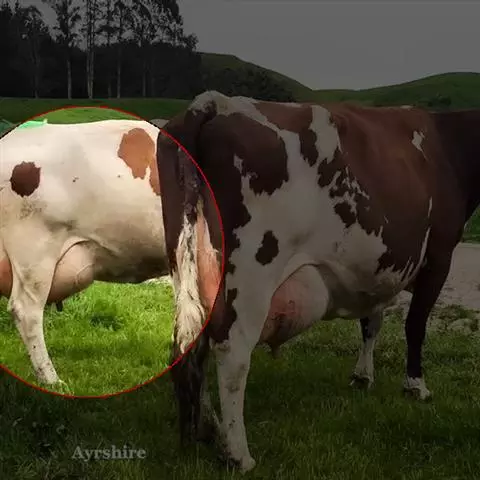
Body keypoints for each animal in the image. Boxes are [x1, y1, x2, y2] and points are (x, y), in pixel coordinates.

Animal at [156, 90, 480, 472]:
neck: (449, 147)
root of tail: (214, 103)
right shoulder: (439, 256)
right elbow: (415, 326)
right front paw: (416, 386)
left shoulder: (380, 266)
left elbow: (371, 322)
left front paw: (363, 376)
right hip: (250, 275)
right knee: (232, 353)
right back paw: (238, 454)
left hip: (190, 267)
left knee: (194, 342)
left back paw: (208, 430)